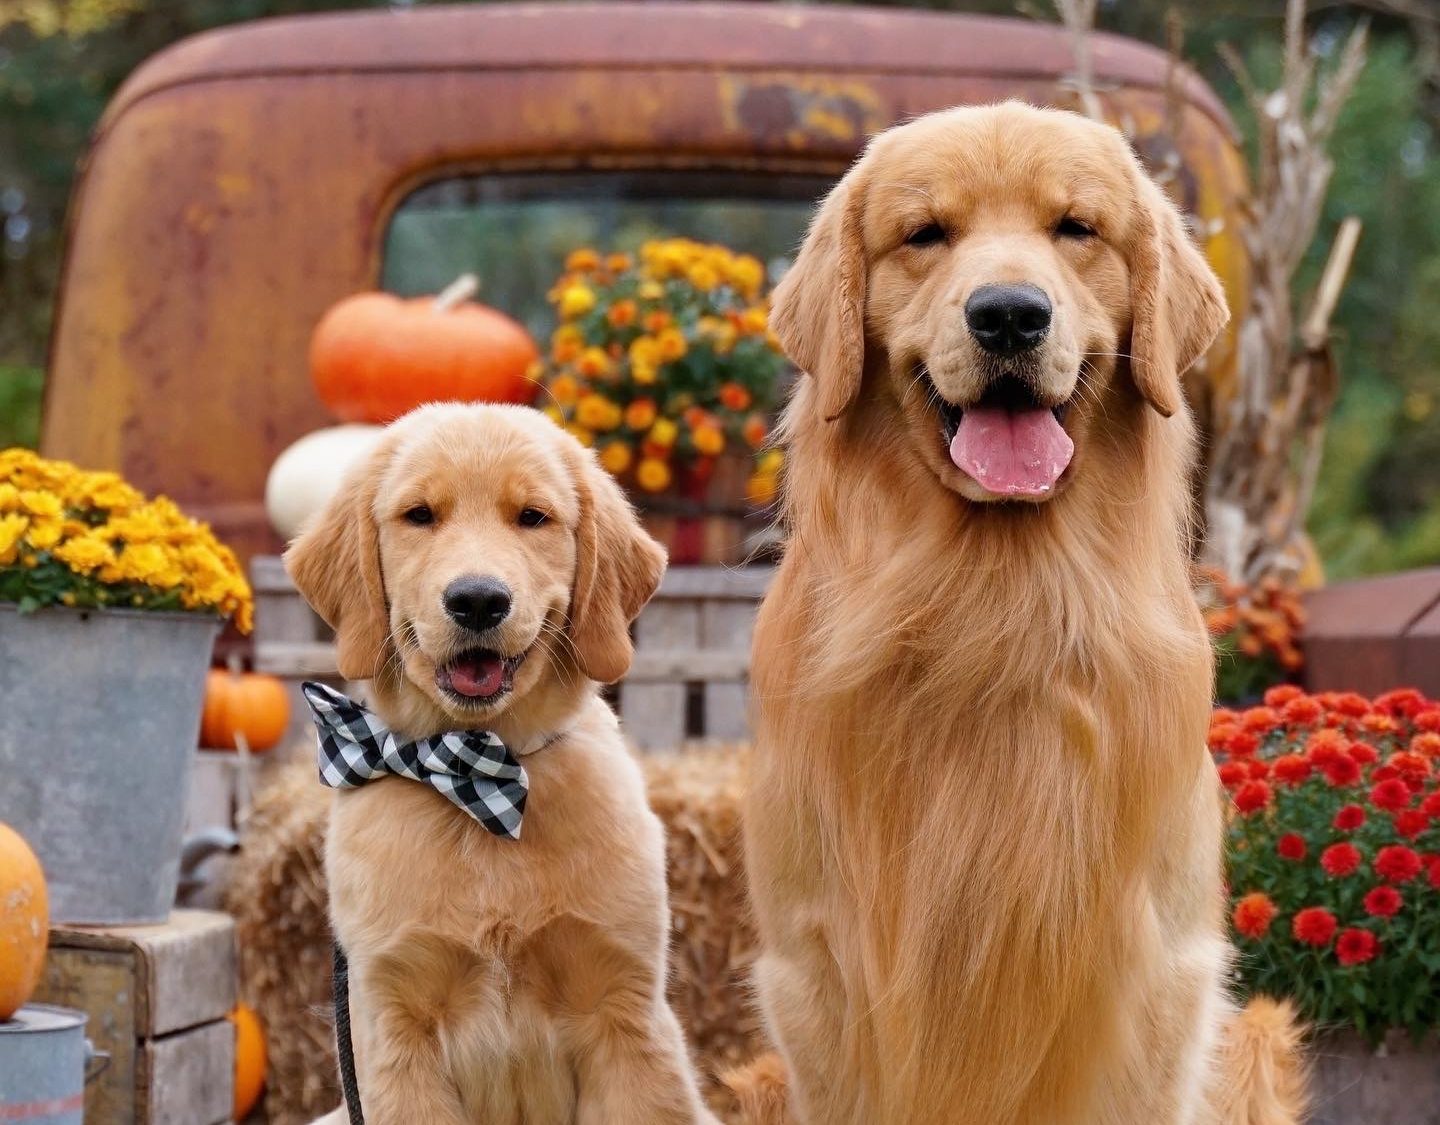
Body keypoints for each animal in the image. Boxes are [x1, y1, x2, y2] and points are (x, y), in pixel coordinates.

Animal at [285, 403, 720, 1123]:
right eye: (420, 515)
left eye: (532, 517)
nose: (479, 600)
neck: (474, 773)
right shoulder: (395, 1025)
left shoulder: (624, 1010)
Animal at [731, 105, 1307, 1123]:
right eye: (926, 234)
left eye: (1076, 228)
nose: (1008, 313)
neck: (996, 604)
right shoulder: (816, 972)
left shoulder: (1149, 977)